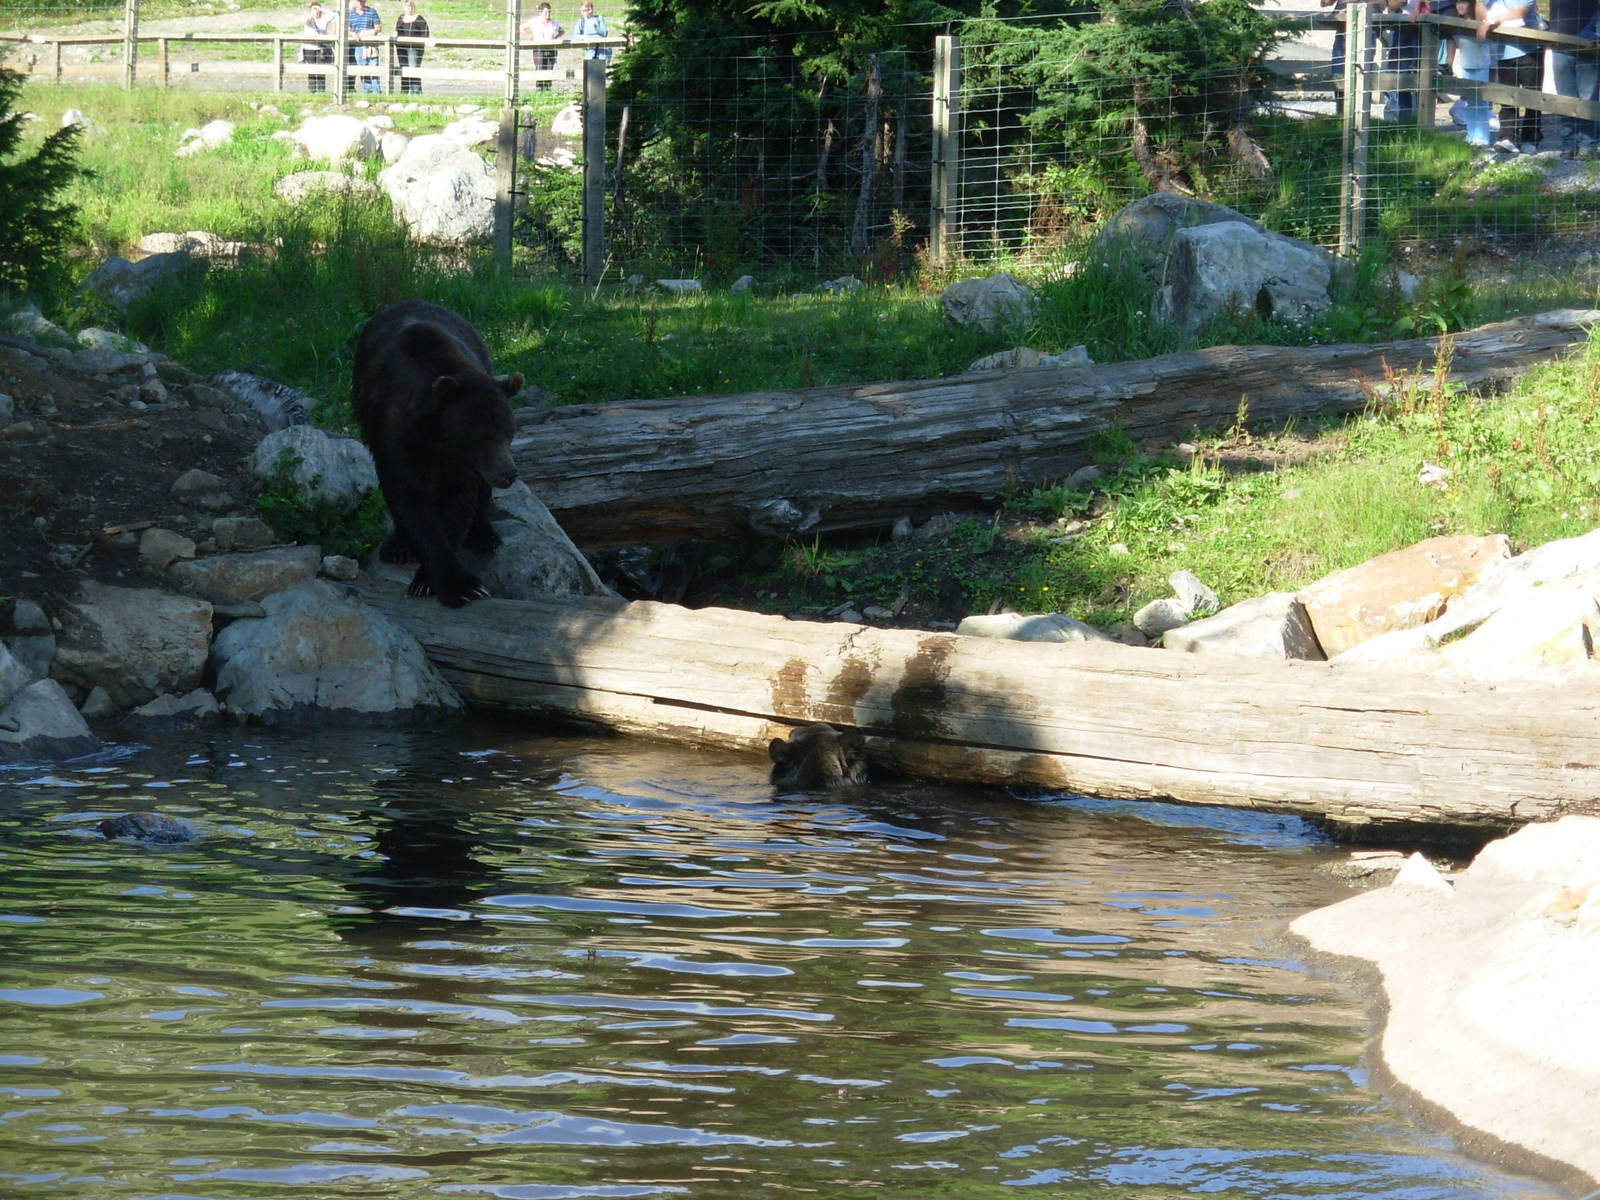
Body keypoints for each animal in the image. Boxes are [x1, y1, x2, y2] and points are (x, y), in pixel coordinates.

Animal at [352, 299, 525, 608]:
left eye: (509, 433)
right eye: (482, 437)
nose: (508, 473)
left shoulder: (461, 463)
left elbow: (458, 502)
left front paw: (437, 580)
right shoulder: (397, 436)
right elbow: (412, 499)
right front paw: (459, 586)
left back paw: (484, 534)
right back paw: (398, 546)